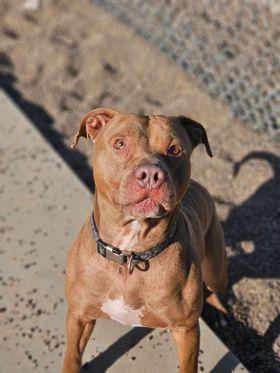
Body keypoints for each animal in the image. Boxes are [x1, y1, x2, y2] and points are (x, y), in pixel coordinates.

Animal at [63, 108, 228, 372]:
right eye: (120, 143)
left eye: (175, 149)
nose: (151, 174)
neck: (129, 253)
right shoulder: (79, 316)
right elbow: (72, 357)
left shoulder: (186, 329)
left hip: (215, 269)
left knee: (216, 285)